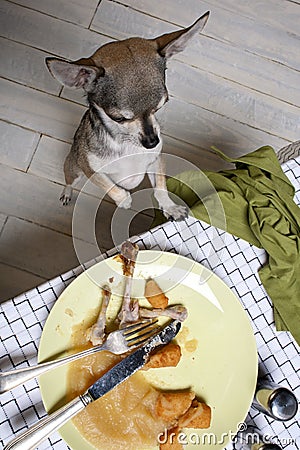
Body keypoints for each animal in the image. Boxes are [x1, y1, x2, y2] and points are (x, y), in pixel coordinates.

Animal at [46, 11, 209, 221]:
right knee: (69, 182)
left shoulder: (156, 160)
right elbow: (111, 187)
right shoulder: (91, 169)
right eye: (119, 118)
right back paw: (67, 193)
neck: (126, 145)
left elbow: (160, 188)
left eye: (160, 107)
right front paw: (124, 200)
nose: (152, 142)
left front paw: (170, 207)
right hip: (74, 169)